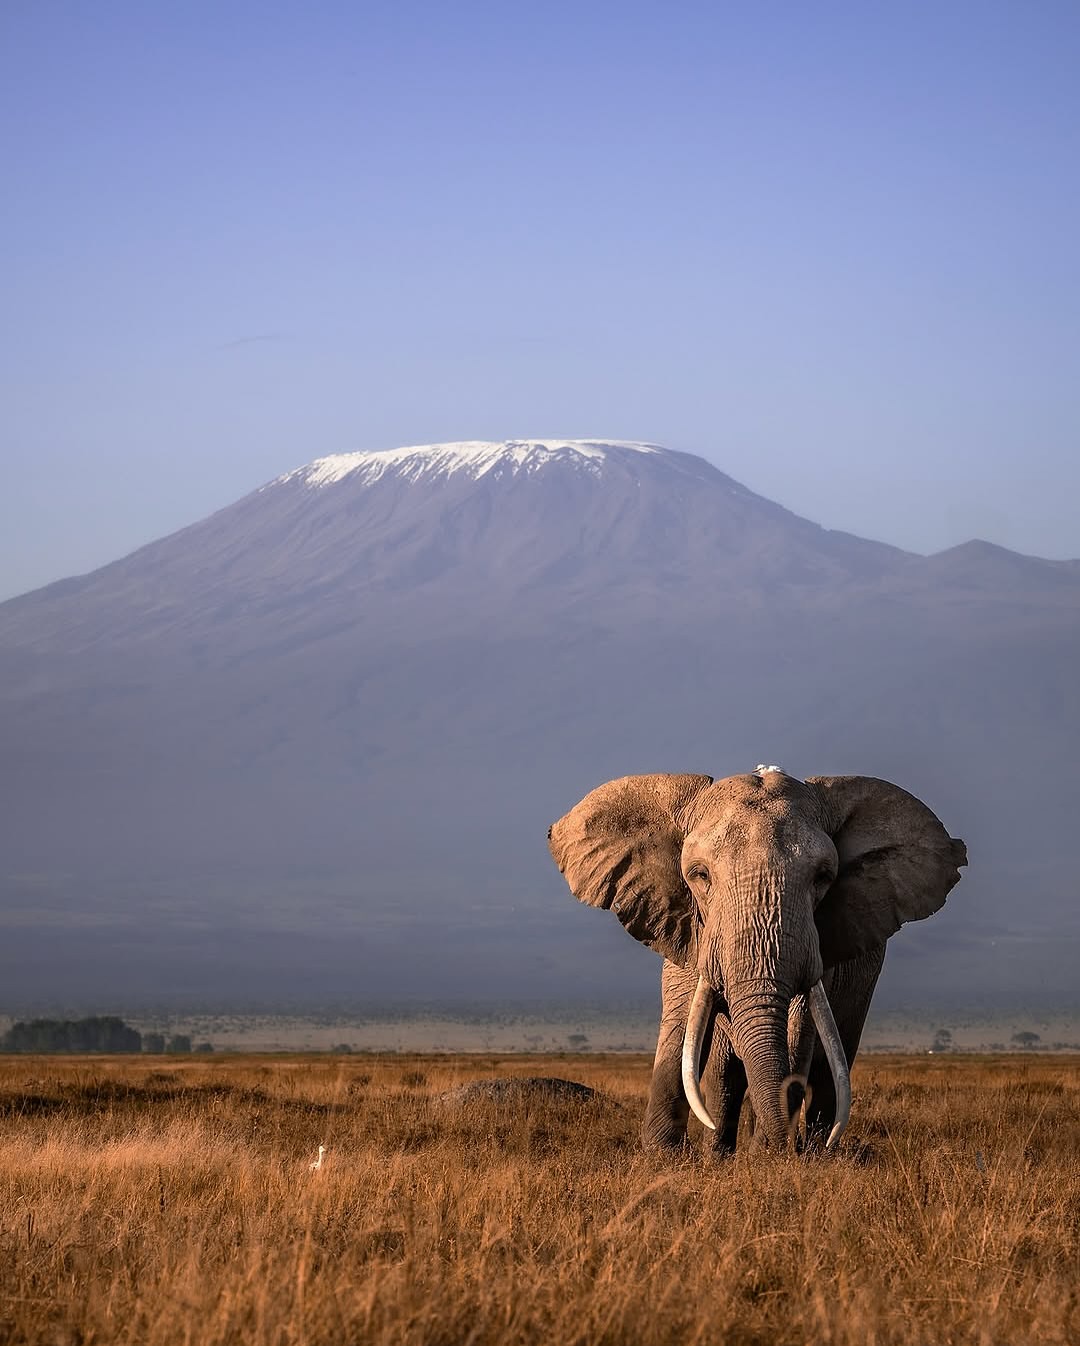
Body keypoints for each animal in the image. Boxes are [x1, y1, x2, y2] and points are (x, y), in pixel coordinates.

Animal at [547, 767, 966, 1153]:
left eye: (823, 877)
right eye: (700, 875)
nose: (778, 1149)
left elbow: (798, 1030)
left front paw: (767, 1159)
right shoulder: (687, 928)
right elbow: (682, 1029)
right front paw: (662, 1159)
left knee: (831, 1066)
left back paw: (816, 1152)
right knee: (724, 1074)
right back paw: (720, 1154)